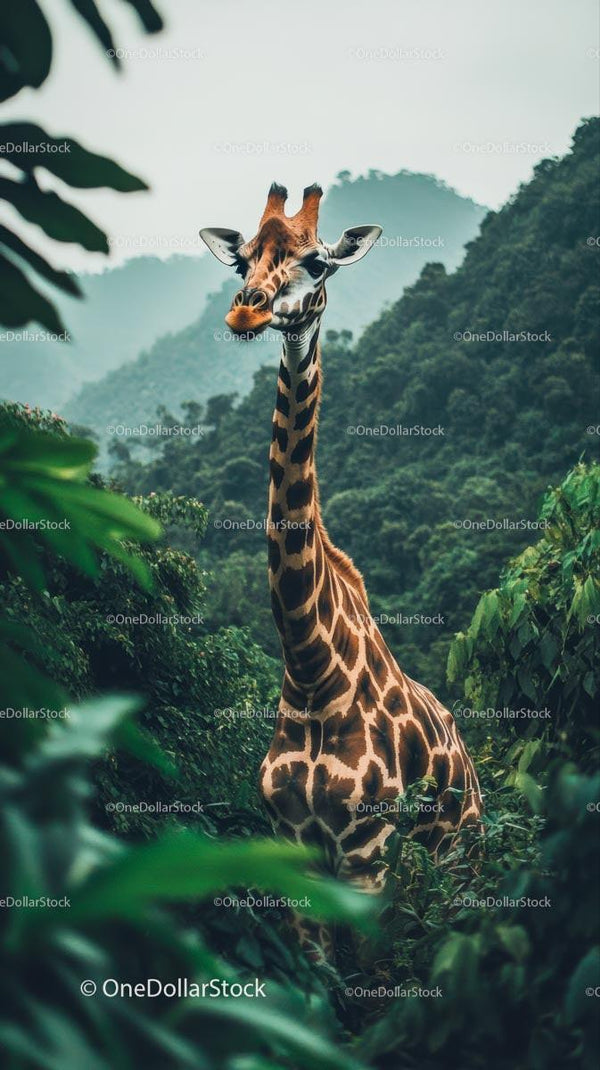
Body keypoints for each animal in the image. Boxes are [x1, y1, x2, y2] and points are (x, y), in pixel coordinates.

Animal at [200, 183, 482, 960]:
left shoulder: (367, 850)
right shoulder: (294, 844)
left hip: (460, 858)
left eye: (318, 263)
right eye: (243, 257)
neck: (309, 667)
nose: (248, 310)